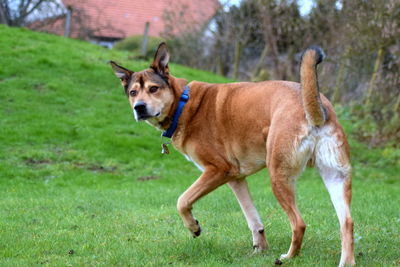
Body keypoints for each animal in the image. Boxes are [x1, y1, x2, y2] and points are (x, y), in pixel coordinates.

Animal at [110, 43, 356, 266]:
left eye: (153, 89)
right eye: (133, 92)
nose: (139, 107)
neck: (184, 103)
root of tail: (314, 107)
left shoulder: (218, 170)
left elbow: (182, 200)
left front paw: (194, 227)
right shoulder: (236, 178)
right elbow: (253, 219)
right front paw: (259, 248)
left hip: (278, 176)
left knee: (299, 224)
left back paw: (288, 257)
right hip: (335, 176)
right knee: (347, 222)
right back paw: (346, 261)